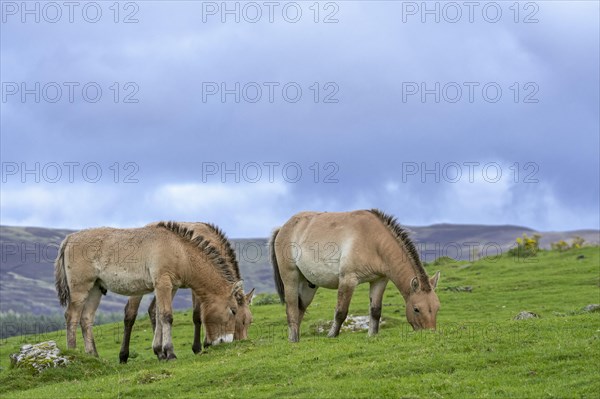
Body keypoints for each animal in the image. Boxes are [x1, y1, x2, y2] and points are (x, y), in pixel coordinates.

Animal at [54, 222, 244, 360]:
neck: (179, 250)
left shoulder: (171, 287)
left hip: (95, 288)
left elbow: (158, 315)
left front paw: (161, 352)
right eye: (233, 311)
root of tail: (69, 239)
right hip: (80, 289)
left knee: (86, 319)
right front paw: (170, 353)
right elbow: (167, 316)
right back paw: (73, 353)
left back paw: (94, 356)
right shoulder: (163, 284)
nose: (227, 341)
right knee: (72, 316)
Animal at [118, 222, 254, 366]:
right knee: (130, 315)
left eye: (250, 321)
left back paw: (160, 352)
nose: (243, 340)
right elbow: (198, 316)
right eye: (240, 319)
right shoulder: (197, 288)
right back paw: (124, 355)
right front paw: (200, 346)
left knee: (153, 310)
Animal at [272, 209, 440, 344]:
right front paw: (331, 335)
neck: (373, 241)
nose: (430, 333)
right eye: (416, 309)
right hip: (291, 279)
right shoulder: (348, 280)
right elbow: (341, 312)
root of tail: (283, 228)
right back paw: (294, 340)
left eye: (437, 307)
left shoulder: (379, 280)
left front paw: (372, 335)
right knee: (292, 308)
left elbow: (375, 311)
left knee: (300, 309)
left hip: (308, 285)